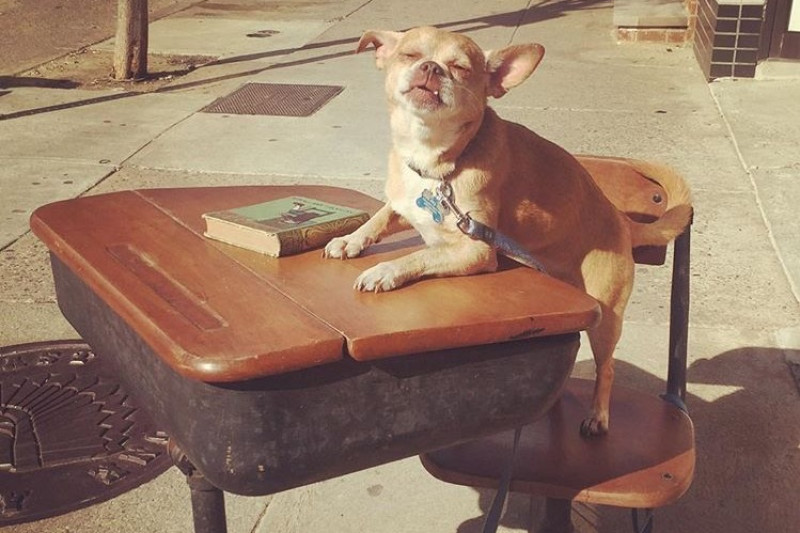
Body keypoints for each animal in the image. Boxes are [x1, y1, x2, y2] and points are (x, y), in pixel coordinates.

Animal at [323, 26, 692, 436]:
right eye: (410, 55)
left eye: (460, 68)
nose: (432, 68)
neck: (437, 161)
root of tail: (620, 219)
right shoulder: (405, 204)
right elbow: (380, 217)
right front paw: (351, 240)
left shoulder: (476, 250)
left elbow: (420, 254)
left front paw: (384, 271)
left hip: (607, 318)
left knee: (607, 367)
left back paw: (598, 415)